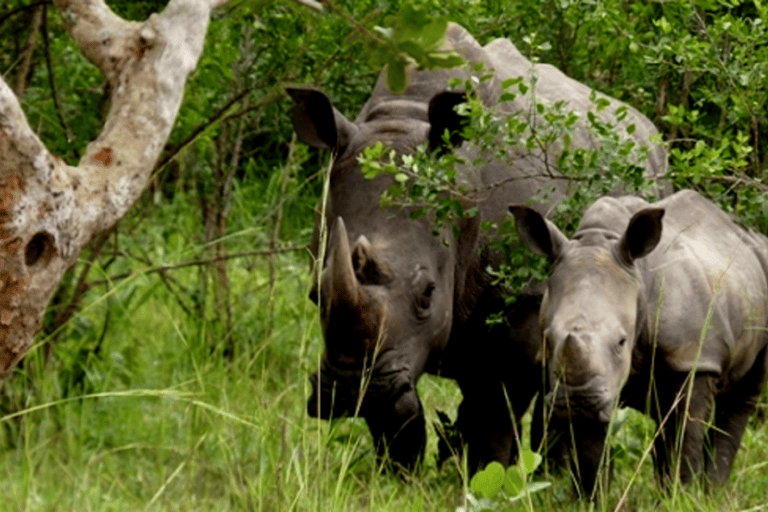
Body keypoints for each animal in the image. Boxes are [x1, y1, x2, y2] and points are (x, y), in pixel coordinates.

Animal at [287, 23, 667, 472]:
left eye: (428, 293)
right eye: (316, 294)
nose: (348, 393)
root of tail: (649, 130)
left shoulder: (523, 299)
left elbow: (494, 409)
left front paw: (489, 473)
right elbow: (398, 416)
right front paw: (397, 472)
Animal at [511, 189, 768, 495]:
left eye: (622, 341)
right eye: (548, 339)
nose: (578, 400)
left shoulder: (693, 358)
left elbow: (686, 433)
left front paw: (684, 496)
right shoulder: (595, 385)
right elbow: (590, 451)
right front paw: (591, 499)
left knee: (740, 395)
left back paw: (712, 493)